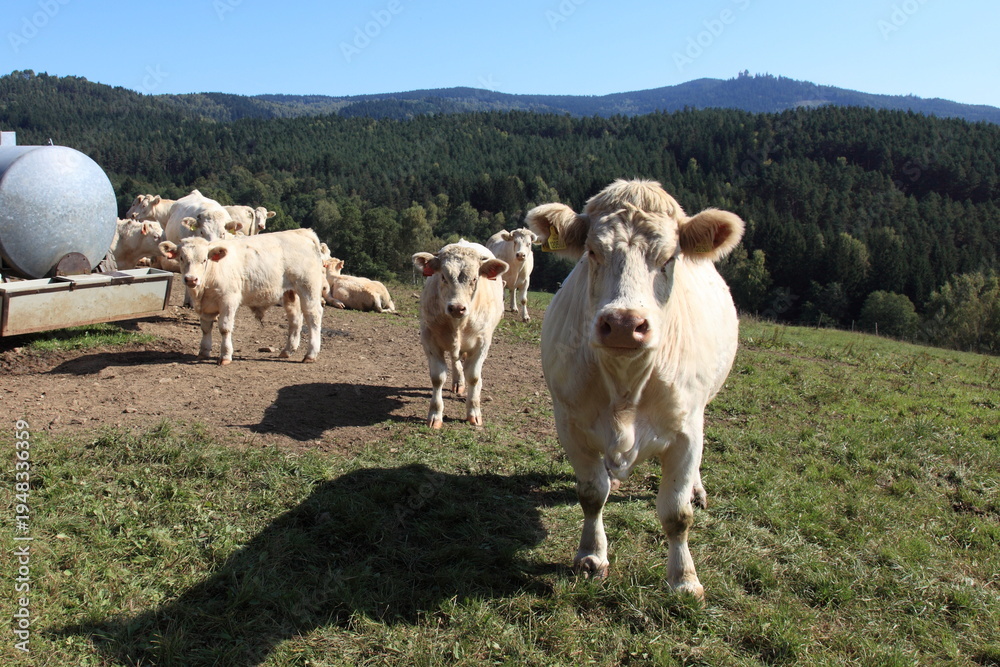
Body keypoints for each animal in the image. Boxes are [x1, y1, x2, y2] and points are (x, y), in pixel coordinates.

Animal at [158, 228, 326, 365]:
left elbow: (224, 328)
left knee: (313, 316)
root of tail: (303, 232)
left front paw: (225, 356)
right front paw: (203, 352)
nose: (191, 279)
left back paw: (310, 354)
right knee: (295, 319)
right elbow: (205, 328)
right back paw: (287, 350)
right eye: (181, 258)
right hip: (289, 293)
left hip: (308, 287)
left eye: (204, 260)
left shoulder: (228, 300)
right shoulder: (205, 306)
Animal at [412, 240, 508, 428]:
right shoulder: (429, 338)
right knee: (455, 360)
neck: (458, 324)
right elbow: (438, 377)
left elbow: (474, 377)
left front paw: (474, 412)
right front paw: (435, 414)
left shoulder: (482, 342)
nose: (457, 308)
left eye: (474, 279)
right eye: (443, 277)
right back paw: (458, 382)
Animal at [525, 179, 744, 601]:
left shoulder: (687, 431)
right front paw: (591, 556)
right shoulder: (570, 424)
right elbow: (591, 493)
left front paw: (684, 578)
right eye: (592, 252)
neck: (625, 385)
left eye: (670, 258)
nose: (625, 324)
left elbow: (676, 514)